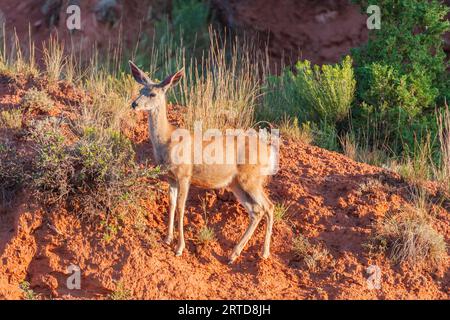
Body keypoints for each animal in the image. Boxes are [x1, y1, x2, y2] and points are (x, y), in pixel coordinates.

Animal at [128, 61, 276, 264]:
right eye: (141, 89)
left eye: (152, 94)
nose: (134, 104)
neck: (167, 139)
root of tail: (269, 151)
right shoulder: (170, 177)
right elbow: (171, 204)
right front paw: (167, 239)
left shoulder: (185, 175)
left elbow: (181, 207)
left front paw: (179, 248)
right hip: (236, 183)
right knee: (256, 211)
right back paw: (233, 254)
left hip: (251, 179)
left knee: (269, 206)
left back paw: (264, 253)